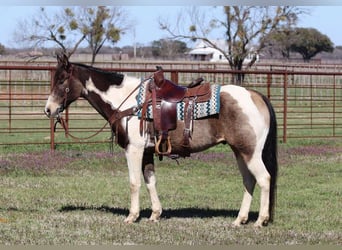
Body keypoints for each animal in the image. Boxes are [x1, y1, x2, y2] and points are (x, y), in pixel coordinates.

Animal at [44, 54, 276, 227]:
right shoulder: (147, 151)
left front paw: (132, 216)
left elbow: (134, 182)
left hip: (250, 152)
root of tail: (255, 95)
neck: (128, 102)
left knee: (264, 178)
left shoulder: (134, 149)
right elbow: (150, 181)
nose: (48, 109)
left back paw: (260, 220)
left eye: (62, 80)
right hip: (240, 152)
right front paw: (155, 214)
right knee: (249, 181)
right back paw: (240, 219)